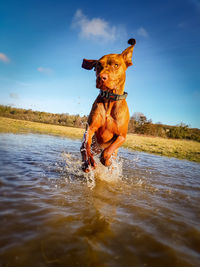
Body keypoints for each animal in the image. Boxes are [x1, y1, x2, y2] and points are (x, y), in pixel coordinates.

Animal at [80, 38, 135, 173]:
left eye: (116, 65)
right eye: (98, 65)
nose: (101, 78)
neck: (110, 100)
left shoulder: (122, 136)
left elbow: (107, 151)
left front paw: (106, 160)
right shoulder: (90, 129)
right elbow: (84, 145)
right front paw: (88, 161)